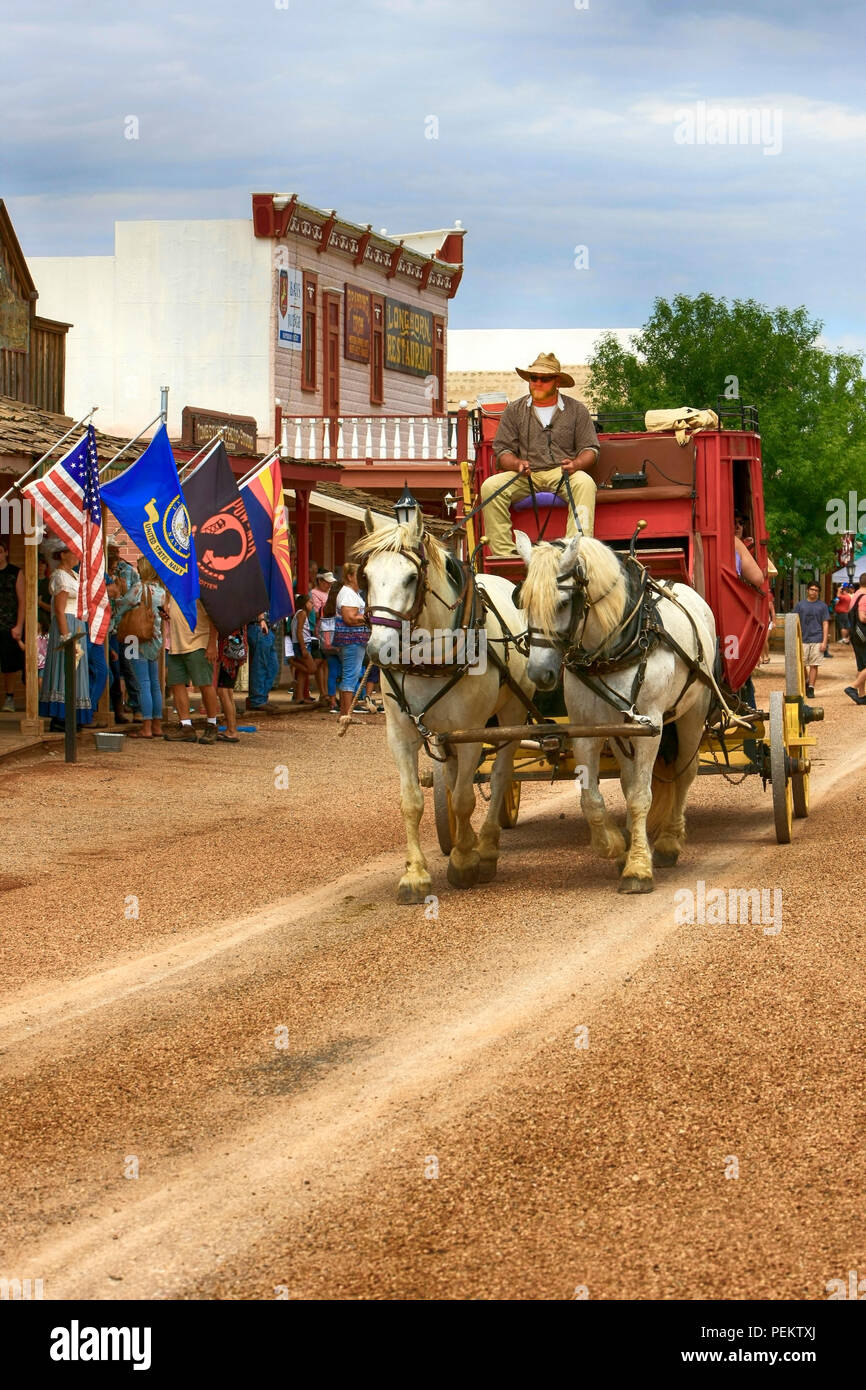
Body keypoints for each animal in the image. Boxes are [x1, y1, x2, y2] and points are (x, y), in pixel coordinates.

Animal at [358, 508, 536, 900]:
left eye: (411, 577)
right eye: (366, 576)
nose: (378, 649)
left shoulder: (469, 732)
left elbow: (464, 799)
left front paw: (466, 862)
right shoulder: (402, 733)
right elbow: (414, 801)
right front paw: (415, 874)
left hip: (510, 715)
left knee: (500, 776)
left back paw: (486, 848)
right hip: (444, 734)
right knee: (455, 779)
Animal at [514, 525, 717, 895]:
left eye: (563, 603)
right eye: (523, 603)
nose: (538, 673)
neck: (613, 650)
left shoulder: (651, 727)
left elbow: (640, 796)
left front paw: (638, 868)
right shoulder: (587, 730)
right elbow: (592, 797)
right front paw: (613, 844)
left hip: (692, 715)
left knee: (685, 772)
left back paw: (669, 841)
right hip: (623, 730)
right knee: (628, 778)